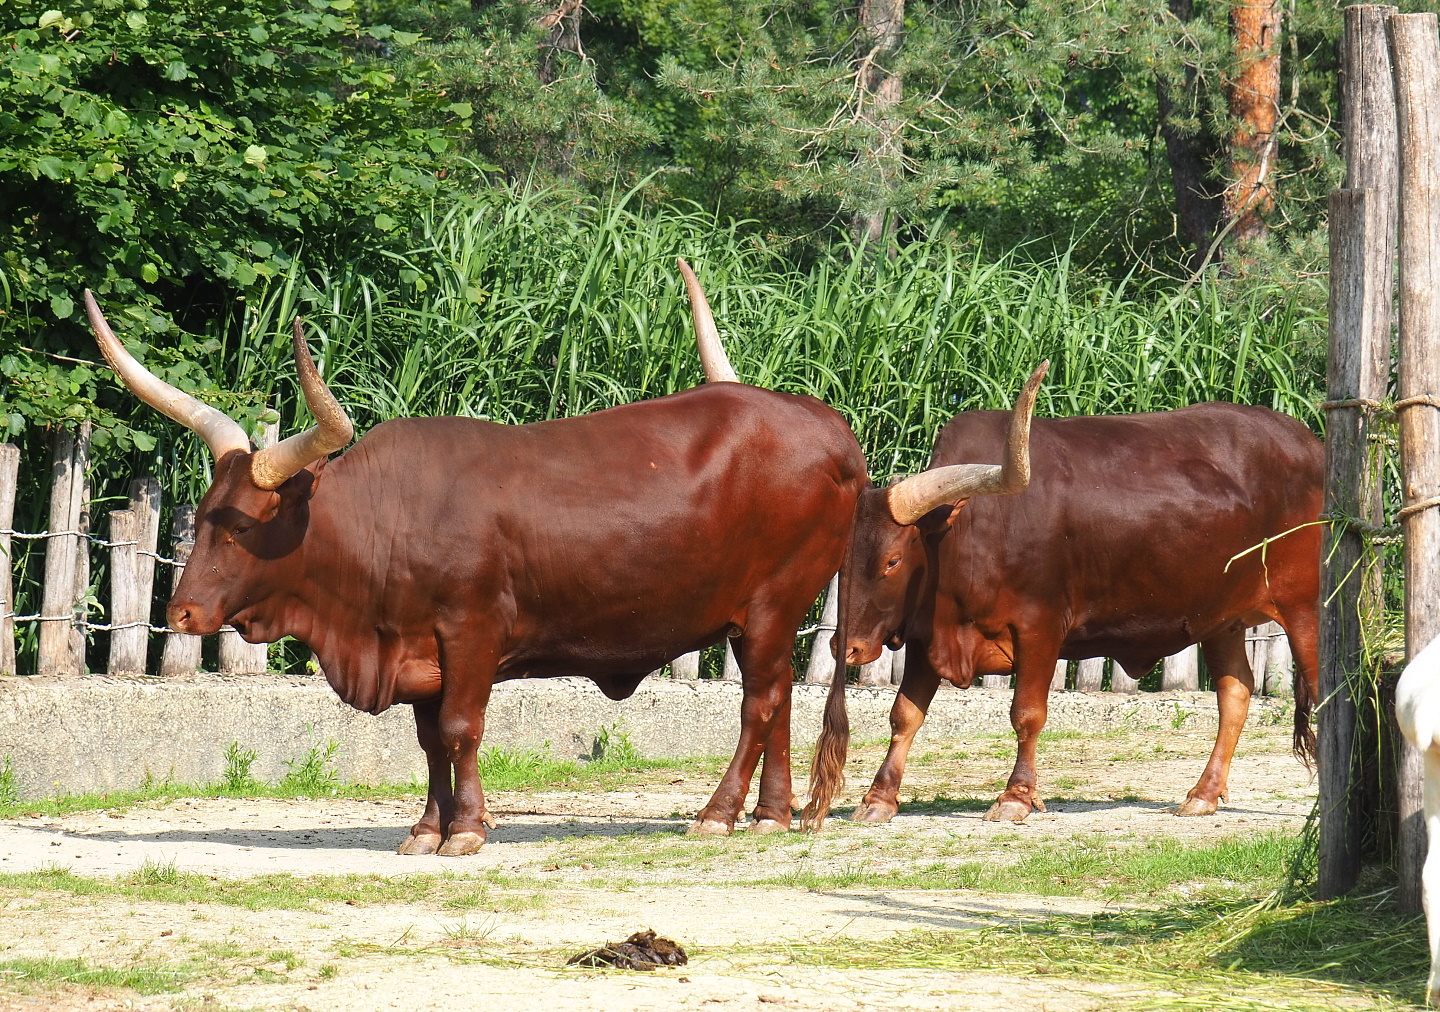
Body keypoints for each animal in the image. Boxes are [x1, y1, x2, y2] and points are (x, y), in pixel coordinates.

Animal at [86, 267, 1034, 854]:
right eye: (205, 513)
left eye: (246, 522)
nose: (181, 613)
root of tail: (825, 425)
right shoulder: (420, 650)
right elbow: (427, 741)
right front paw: (426, 827)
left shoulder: (469, 634)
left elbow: (461, 731)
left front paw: (467, 830)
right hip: (759, 613)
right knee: (780, 707)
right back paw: (769, 816)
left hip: (774, 603)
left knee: (761, 704)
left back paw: (718, 813)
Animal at [803, 388, 1321, 830]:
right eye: (843, 559)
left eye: (892, 560)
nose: (846, 647)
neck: (969, 532)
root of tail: (1308, 444)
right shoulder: (928, 638)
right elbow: (904, 715)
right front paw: (878, 798)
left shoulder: (1040, 627)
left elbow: (1027, 713)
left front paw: (1015, 797)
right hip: (1223, 621)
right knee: (1235, 694)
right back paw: (1203, 794)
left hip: (1305, 608)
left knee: (1320, 687)